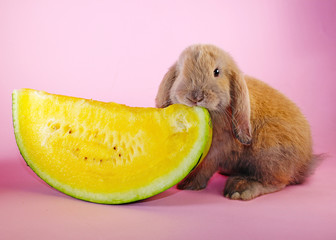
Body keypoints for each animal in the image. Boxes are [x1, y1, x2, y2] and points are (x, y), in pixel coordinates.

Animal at [155, 44, 318, 200]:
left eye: (216, 72)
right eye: (181, 71)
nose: (195, 97)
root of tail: (306, 162)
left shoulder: (218, 149)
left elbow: (205, 166)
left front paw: (188, 184)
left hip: (269, 149)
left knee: (276, 181)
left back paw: (240, 189)